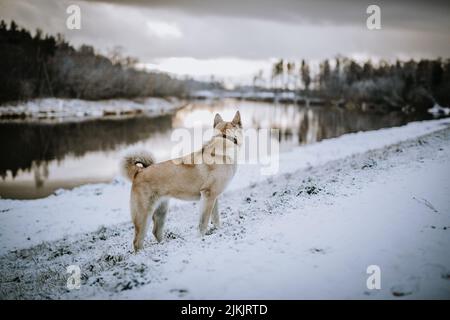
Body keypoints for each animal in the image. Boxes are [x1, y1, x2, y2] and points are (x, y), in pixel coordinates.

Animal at [121, 111, 243, 251]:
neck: (224, 140)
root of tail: (138, 173)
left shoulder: (214, 197)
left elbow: (216, 219)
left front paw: (219, 231)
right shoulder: (208, 196)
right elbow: (203, 222)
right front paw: (200, 239)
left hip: (161, 211)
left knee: (156, 231)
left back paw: (164, 245)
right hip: (143, 214)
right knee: (137, 241)